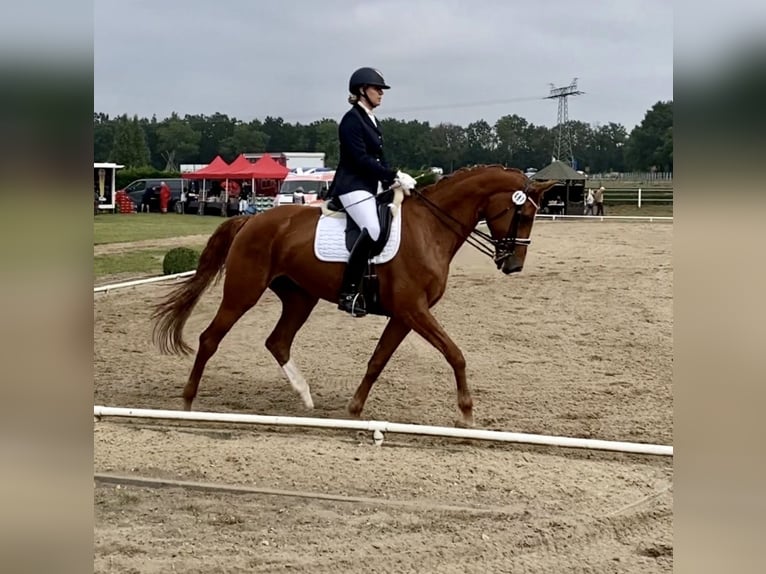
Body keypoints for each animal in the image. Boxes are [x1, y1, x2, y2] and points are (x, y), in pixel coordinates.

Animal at [151, 165, 559, 426]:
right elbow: (455, 354)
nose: (513, 266)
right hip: (243, 292)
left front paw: (354, 409)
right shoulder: (414, 310)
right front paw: (467, 412)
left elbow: (377, 361)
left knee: (278, 341)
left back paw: (305, 397)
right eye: (522, 216)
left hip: (300, 297)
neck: (431, 228)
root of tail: (251, 219)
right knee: (210, 338)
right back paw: (187, 402)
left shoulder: (405, 315)